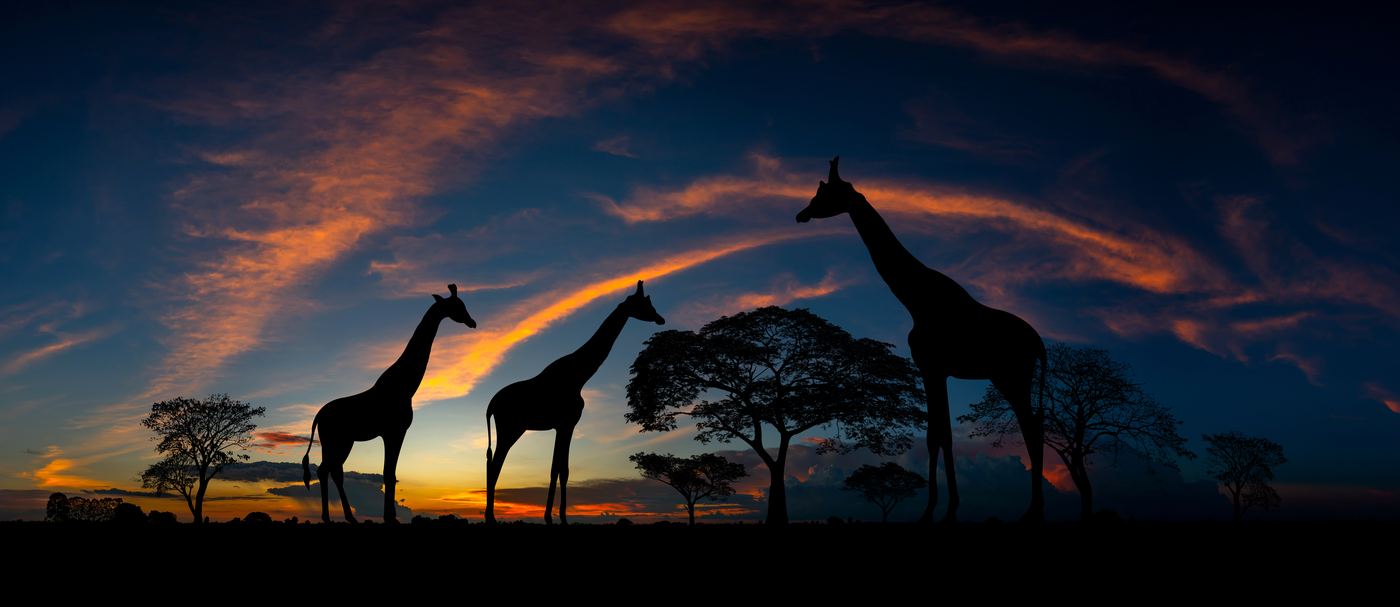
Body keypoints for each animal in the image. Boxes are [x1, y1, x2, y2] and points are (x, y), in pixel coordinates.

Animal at [301, 284, 476, 523]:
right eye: (457, 306)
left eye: (463, 305)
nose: (472, 322)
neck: (406, 385)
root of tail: (318, 416)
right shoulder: (395, 431)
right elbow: (389, 473)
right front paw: (390, 517)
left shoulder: (391, 433)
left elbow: (390, 473)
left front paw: (390, 516)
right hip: (337, 440)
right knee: (328, 470)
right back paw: (333, 518)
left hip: (340, 441)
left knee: (330, 470)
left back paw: (344, 518)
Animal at [484, 281, 665, 525]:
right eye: (645, 303)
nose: (660, 318)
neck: (580, 375)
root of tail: (491, 405)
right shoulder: (567, 423)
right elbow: (560, 469)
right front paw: (558, 518)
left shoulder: (562, 426)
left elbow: (560, 469)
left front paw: (554, 517)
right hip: (510, 429)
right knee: (495, 466)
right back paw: (491, 518)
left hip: (511, 429)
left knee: (491, 464)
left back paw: (490, 516)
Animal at [797, 157, 1047, 523]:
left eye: (824, 193)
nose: (801, 214)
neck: (916, 299)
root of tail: (1040, 345)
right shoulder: (936, 370)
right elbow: (941, 434)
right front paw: (944, 509)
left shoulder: (931, 367)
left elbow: (936, 436)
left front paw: (935, 511)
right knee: (1036, 428)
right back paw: (1033, 509)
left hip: (1011, 376)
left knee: (1032, 429)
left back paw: (1032, 511)